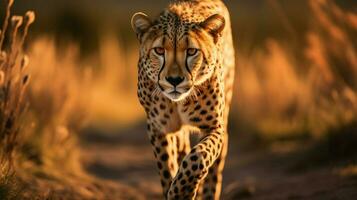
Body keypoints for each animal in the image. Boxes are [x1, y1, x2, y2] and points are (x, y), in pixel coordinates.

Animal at [131, 0, 234, 199]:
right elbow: (167, 167)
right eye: (159, 50)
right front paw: (175, 188)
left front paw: (183, 191)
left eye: (192, 51)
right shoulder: (159, 128)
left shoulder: (213, 127)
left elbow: (198, 157)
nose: (174, 80)